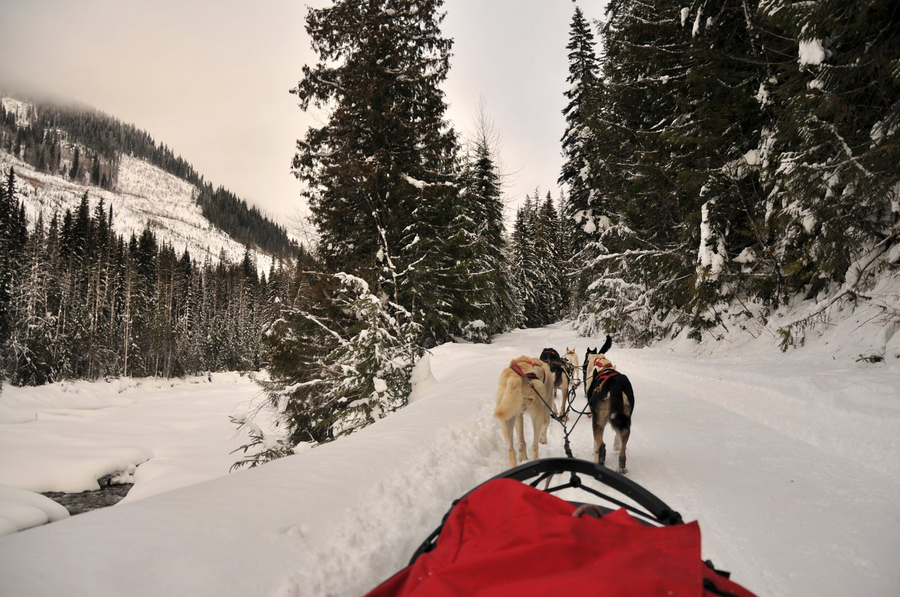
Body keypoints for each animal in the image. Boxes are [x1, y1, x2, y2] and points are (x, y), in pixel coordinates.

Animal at [584, 338, 632, 472]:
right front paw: (616, 445)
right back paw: (621, 468)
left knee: (601, 445)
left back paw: (599, 462)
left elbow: (595, 444)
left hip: (598, 422)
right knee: (623, 450)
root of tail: (615, 384)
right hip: (625, 420)